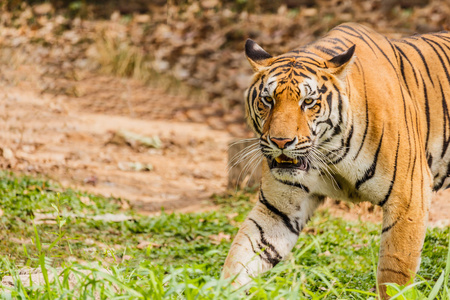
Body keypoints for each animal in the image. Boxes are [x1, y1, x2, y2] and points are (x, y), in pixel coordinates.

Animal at [221, 22, 450, 298]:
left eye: (308, 102)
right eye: (268, 99)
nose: (280, 142)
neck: (331, 152)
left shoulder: (408, 196)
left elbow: (394, 274)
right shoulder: (278, 208)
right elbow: (241, 256)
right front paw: (219, 290)